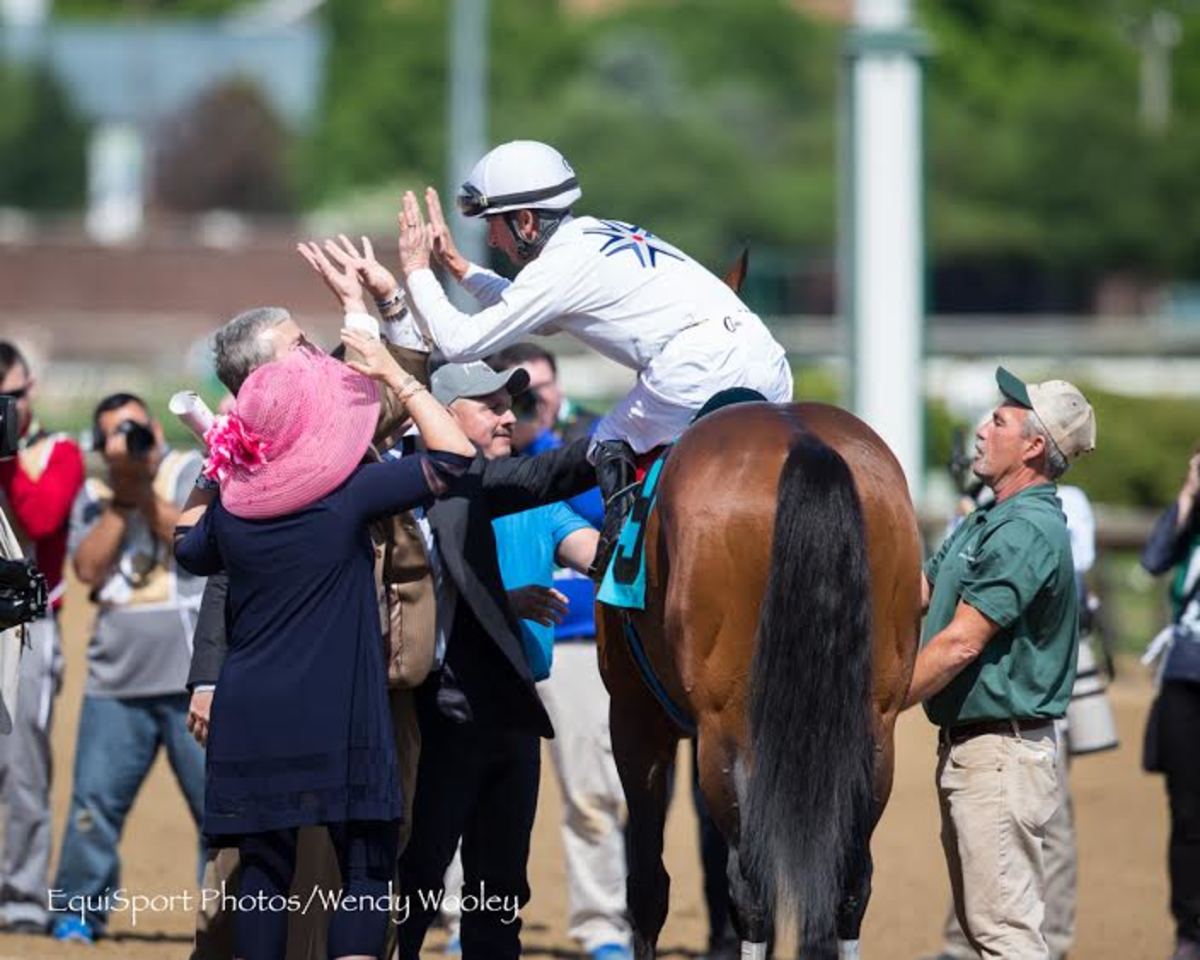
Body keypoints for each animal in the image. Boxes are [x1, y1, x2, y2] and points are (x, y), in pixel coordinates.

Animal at [595, 328, 921, 950]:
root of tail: (804, 444)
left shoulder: (635, 715)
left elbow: (647, 886)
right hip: (873, 726)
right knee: (849, 882)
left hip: (726, 728)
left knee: (749, 887)